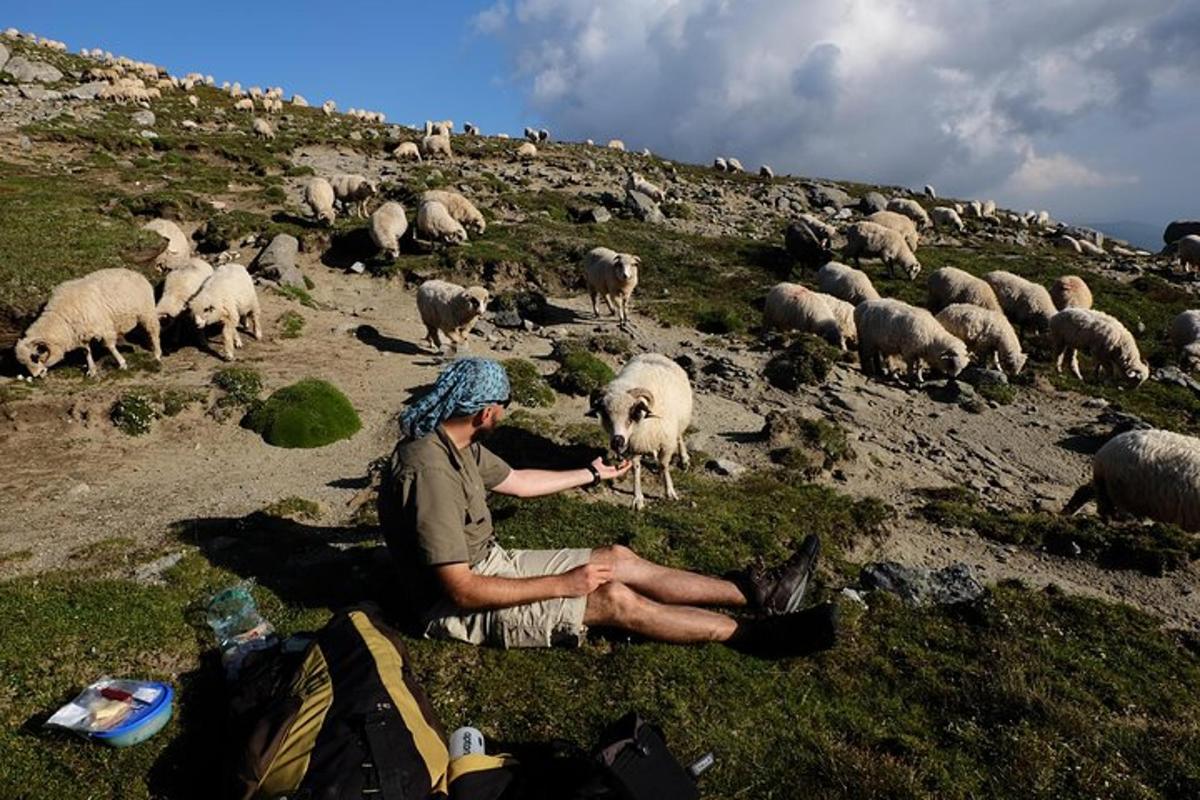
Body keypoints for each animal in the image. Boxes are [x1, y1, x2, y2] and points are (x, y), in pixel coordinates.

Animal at [14, 268, 163, 379]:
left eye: (34, 357)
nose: (37, 375)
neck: (61, 318)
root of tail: (137, 274)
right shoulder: (81, 333)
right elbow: (86, 351)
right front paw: (92, 370)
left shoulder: (104, 327)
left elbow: (110, 346)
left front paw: (122, 363)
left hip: (146, 312)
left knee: (153, 331)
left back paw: (157, 354)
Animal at [590, 352, 696, 510]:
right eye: (605, 414)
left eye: (632, 413)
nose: (617, 441)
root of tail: (655, 354)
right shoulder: (634, 446)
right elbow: (636, 468)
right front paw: (637, 498)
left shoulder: (666, 442)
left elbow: (664, 466)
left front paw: (670, 491)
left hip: (679, 421)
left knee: (679, 436)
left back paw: (684, 460)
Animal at [1065, 429, 1195, 534]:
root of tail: (1105, 449)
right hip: (1120, 489)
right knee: (1108, 510)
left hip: (1107, 483)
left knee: (1089, 492)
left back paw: (1068, 511)